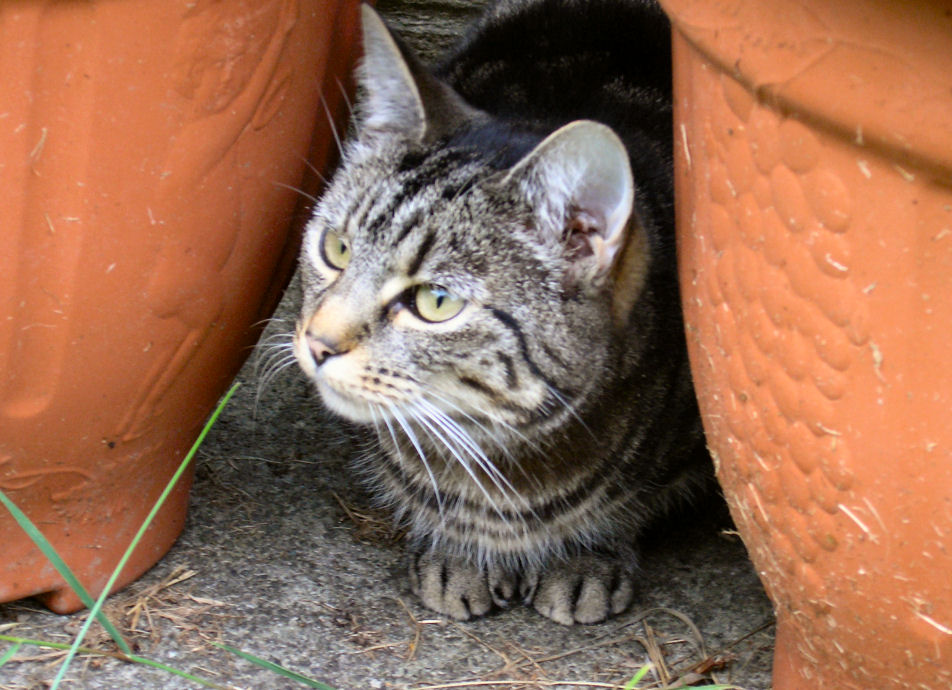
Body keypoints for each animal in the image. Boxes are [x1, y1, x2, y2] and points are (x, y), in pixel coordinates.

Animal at [294, 0, 712, 624]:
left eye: (435, 302)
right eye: (336, 249)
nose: (317, 343)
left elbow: (624, 508)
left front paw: (586, 556)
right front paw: (456, 548)